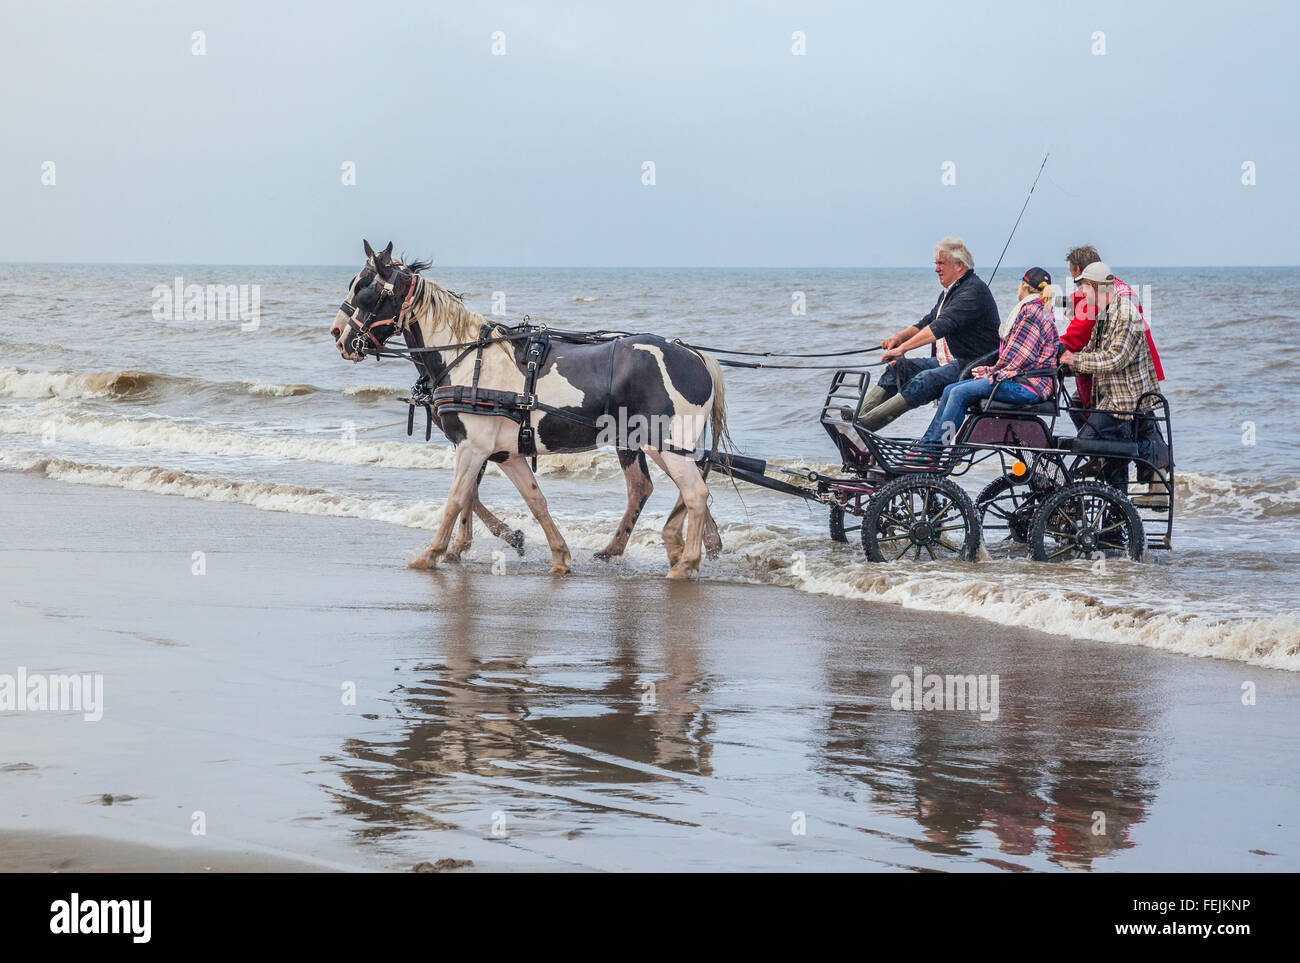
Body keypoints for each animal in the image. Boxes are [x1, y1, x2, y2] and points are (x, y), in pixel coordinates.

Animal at [327, 240, 733, 579]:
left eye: (365, 290)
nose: (340, 338)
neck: (468, 358)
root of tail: (696, 356)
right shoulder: (505, 453)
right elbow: (535, 500)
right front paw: (558, 556)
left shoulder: (472, 447)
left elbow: (457, 498)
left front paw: (432, 553)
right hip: (655, 445)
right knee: (670, 488)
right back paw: (668, 546)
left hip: (665, 444)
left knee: (694, 493)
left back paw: (685, 562)